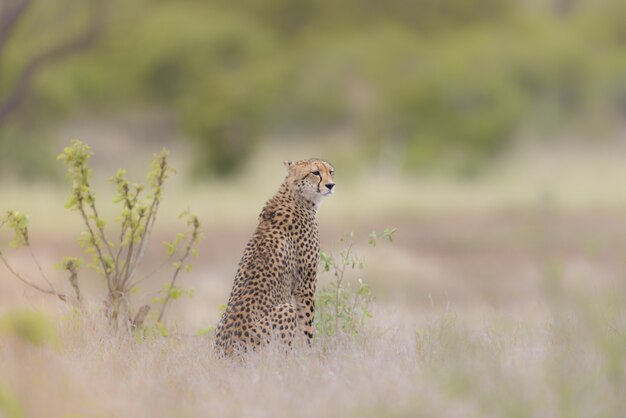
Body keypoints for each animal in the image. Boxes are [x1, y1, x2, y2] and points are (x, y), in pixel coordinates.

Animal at [213, 158, 334, 356]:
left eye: (331, 171)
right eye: (315, 172)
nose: (331, 185)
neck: (297, 195)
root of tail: (225, 352)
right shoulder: (305, 286)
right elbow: (307, 326)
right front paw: (309, 354)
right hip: (285, 310)